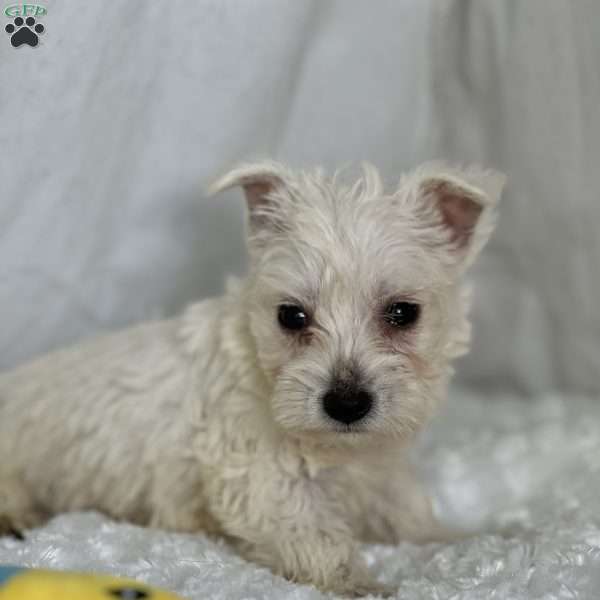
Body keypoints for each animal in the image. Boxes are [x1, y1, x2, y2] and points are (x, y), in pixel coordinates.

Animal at [0, 162, 502, 596]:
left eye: (403, 313)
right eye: (291, 316)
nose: (345, 404)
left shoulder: (380, 467)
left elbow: (407, 513)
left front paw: (469, 535)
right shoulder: (259, 478)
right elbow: (317, 537)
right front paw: (362, 584)